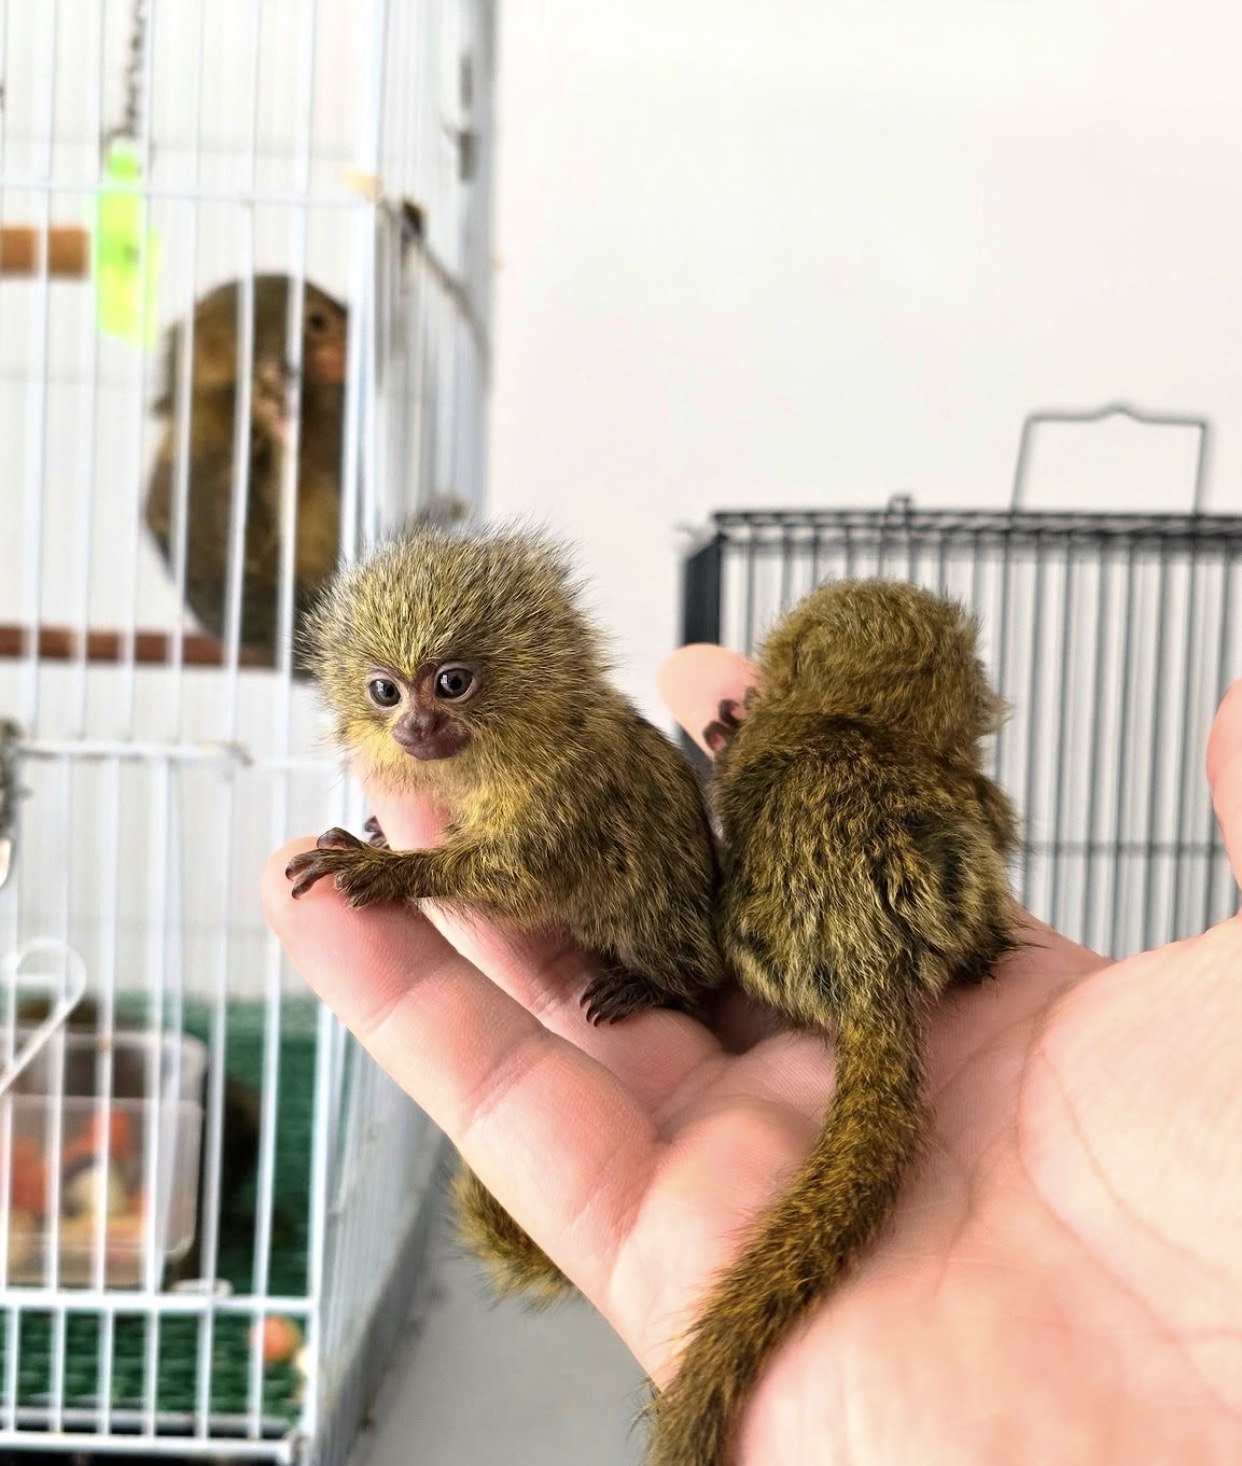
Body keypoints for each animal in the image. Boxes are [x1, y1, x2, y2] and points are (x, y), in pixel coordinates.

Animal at [282, 525, 725, 1298]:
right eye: (384, 690)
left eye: (451, 683)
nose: (416, 724)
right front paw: (379, 833)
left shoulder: (564, 789)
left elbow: (522, 877)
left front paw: (383, 869)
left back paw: (655, 985)